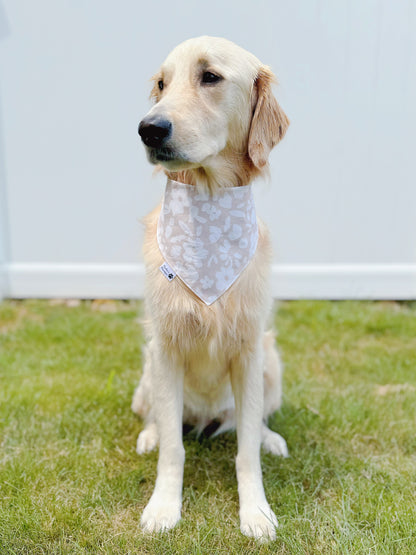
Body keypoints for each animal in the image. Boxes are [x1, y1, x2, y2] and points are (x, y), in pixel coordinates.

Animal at [132, 37, 290, 540]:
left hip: (271, 361)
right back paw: (149, 434)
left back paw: (271, 437)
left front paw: (255, 511)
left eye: (211, 77)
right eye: (162, 84)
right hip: (148, 366)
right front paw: (163, 507)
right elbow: (173, 449)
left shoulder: (248, 350)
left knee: (252, 423)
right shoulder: (166, 348)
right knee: (157, 419)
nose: (148, 129)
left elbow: (246, 451)